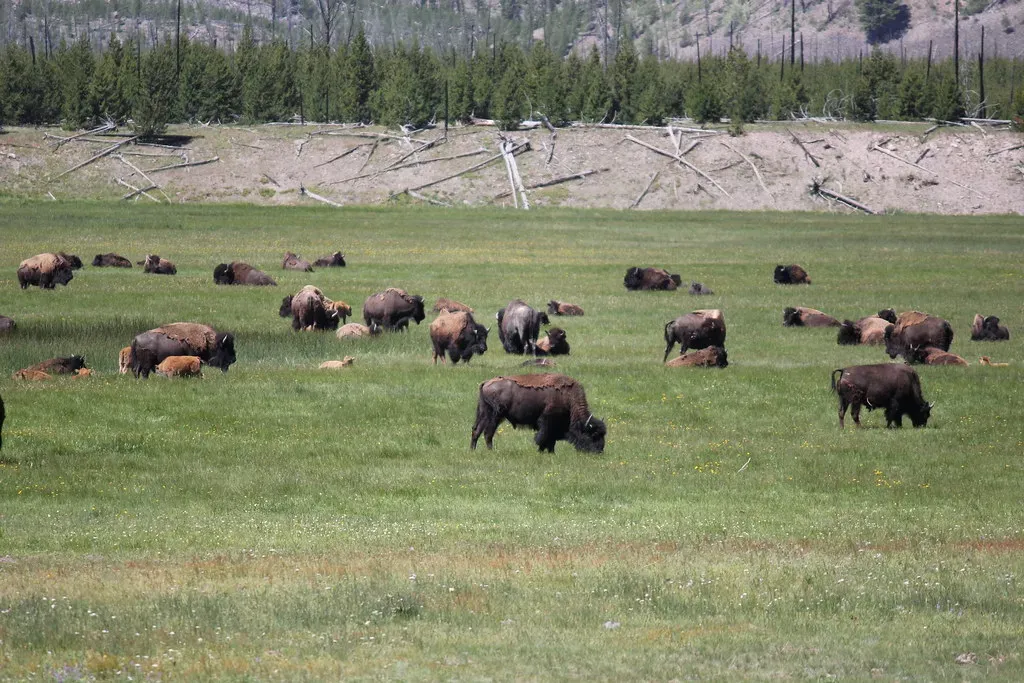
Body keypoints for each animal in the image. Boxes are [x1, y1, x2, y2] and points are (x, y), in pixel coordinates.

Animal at [471, 373, 606, 453]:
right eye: (594, 435)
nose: (599, 451)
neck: (568, 398)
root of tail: (486, 383)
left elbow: (551, 441)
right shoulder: (547, 422)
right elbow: (543, 438)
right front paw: (541, 451)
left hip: (484, 413)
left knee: (476, 430)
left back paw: (473, 450)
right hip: (495, 416)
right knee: (488, 433)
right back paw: (491, 451)